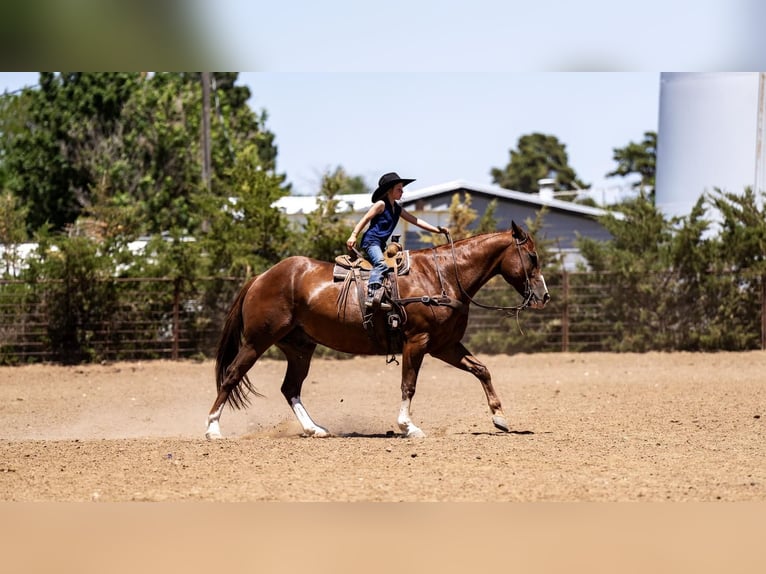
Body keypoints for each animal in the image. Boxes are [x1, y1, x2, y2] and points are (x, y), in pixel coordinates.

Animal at [206, 222, 552, 440]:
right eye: (532, 256)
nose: (544, 296)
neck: (441, 275)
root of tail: (261, 277)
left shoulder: (445, 345)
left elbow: (481, 369)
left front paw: (499, 417)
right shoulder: (418, 341)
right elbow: (408, 385)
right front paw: (408, 427)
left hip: (300, 348)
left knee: (290, 388)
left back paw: (314, 429)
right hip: (257, 341)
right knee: (232, 376)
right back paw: (212, 430)